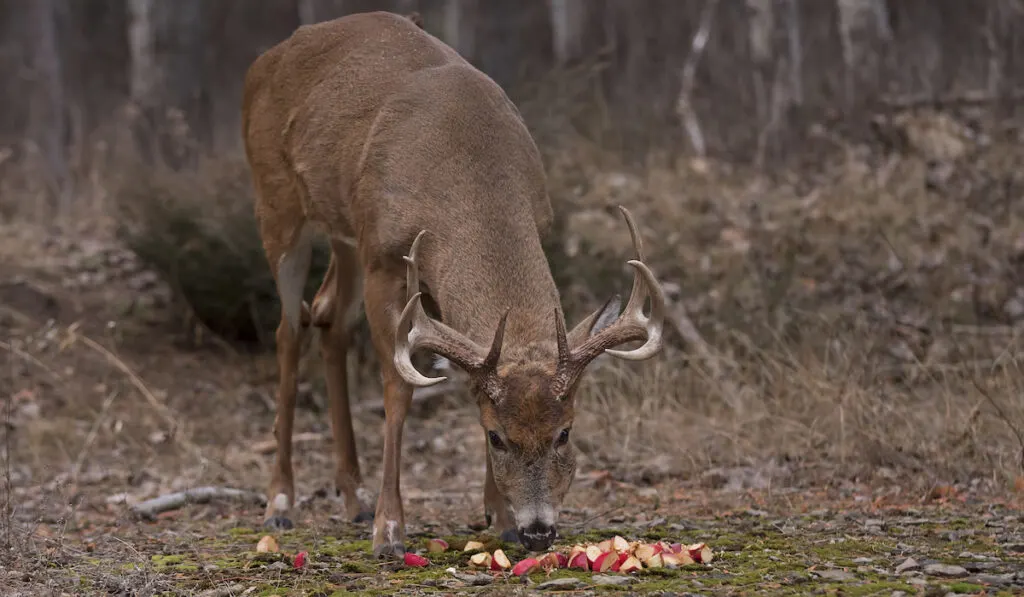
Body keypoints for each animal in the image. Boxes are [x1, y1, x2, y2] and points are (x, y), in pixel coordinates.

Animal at [242, 10, 667, 561]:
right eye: (497, 438)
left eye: (565, 433)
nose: (539, 531)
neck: (465, 161)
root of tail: (262, 62)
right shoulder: (385, 259)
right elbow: (399, 387)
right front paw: (389, 530)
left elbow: (471, 377)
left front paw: (499, 518)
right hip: (277, 206)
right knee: (288, 328)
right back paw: (281, 502)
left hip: (345, 231)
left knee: (329, 315)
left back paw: (353, 497)